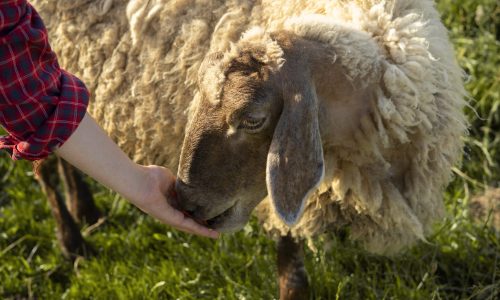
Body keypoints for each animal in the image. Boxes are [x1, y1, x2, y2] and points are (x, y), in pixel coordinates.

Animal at [32, 0, 464, 298]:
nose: (185, 202)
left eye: (253, 119)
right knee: (46, 155)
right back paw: (72, 242)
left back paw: (86, 209)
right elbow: (293, 273)